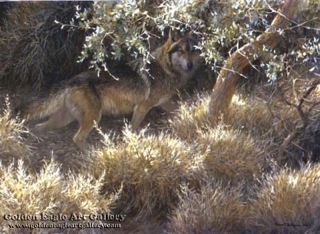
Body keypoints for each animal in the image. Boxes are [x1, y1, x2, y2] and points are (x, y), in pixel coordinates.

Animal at [17, 30, 201, 150]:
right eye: (181, 51)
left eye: (192, 51)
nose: (190, 65)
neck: (166, 69)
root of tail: (71, 80)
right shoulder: (142, 107)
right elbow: (133, 129)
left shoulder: (164, 103)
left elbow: (181, 109)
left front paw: (191, 116)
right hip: (93, 118)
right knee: (77, 138)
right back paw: (93, 154)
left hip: (64, 119)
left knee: (39, 127)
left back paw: (31, 146)